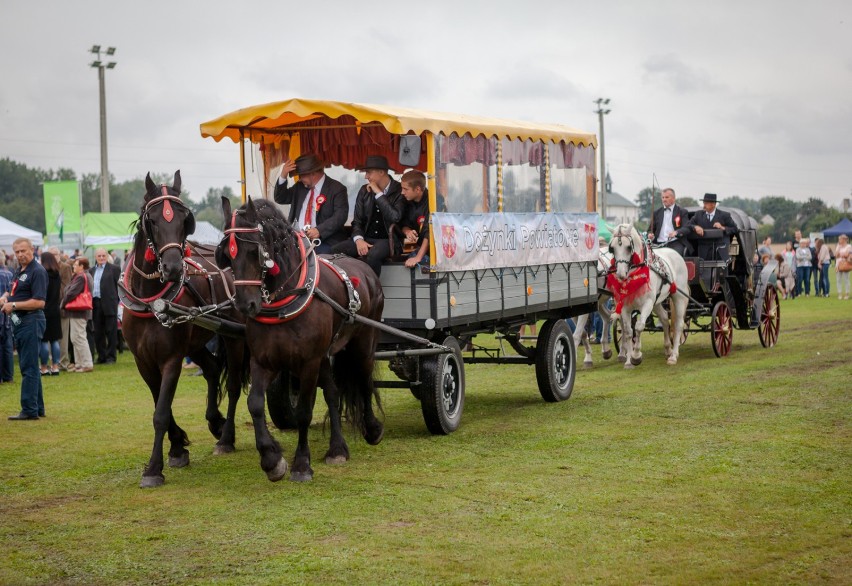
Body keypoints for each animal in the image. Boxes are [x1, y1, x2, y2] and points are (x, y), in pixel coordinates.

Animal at [123, 171, 250, 486]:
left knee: (232, 384)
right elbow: (162, 406)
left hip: (235, 338)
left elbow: (160, 411)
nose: (172, 268)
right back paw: (215, 422)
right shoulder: (143, 361)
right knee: (213, 368)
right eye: (152, 219)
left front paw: (154, 469)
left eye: (184, 220)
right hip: (198, 339)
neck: (151, 301)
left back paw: (226, 438)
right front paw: (178, 446)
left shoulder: (171, 358)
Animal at [215, 196, 384, 480]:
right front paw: (272, 459)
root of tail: (365, 269)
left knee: (364, 379)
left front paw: (302, 463)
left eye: (255, 252)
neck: (286, 298)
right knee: (333, 393)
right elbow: (255, 403)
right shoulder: (263, 360)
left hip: (362, 343)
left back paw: (372, 429)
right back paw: (337, 448)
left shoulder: (308, 362)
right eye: (226, 255)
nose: (245, 305)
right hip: (325, 356)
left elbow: (305, 410)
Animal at [608, 224, 688, 364]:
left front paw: (636, 355)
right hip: (657, 302)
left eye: (628, 247)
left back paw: (673, 355)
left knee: (678, 324)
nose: (621, 274)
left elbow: (639, 326)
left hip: (678, 297)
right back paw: (668, 349)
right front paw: (628, 360)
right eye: (612, 248)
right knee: (665, 319)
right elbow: (628, 331)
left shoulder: (647, 303)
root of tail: (674, 253)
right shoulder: (625, 307)